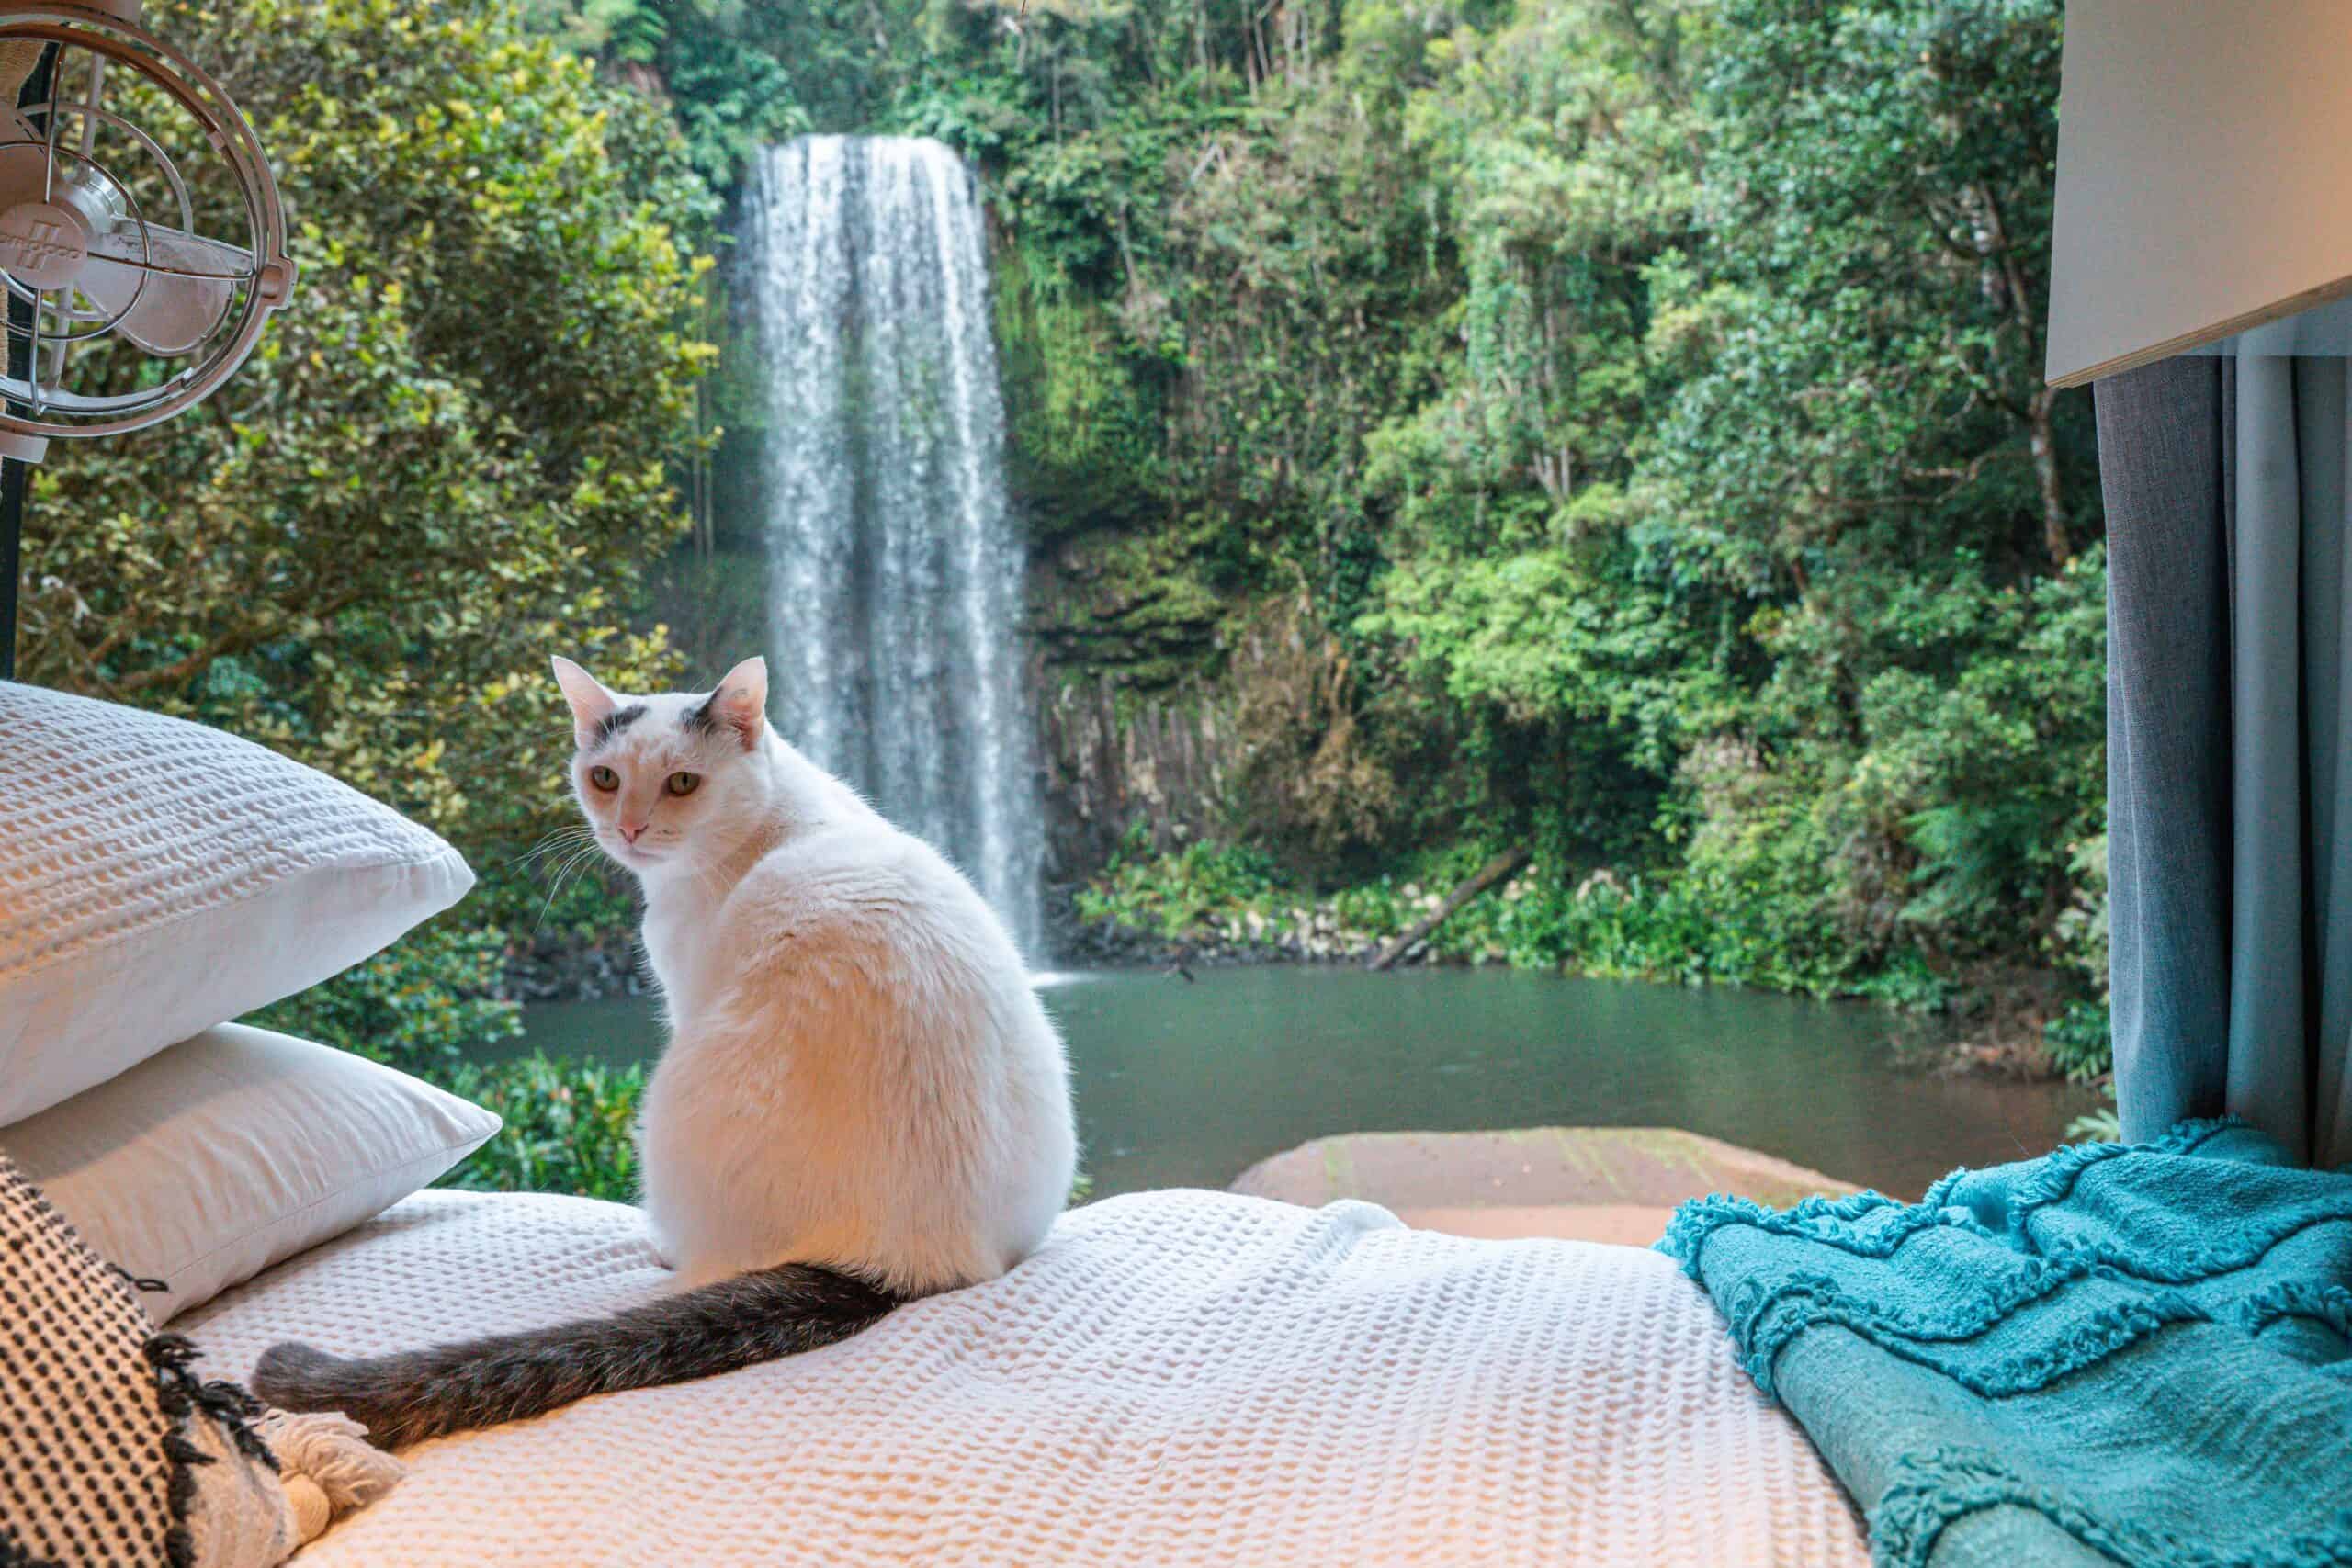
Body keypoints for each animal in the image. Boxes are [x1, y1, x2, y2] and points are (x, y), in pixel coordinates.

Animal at [253, 653, 1072, 1448]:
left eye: (682, 782)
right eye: (605, 777)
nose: (630, 827)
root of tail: (909, 1263)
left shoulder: (683, 995)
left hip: (672, 1097)